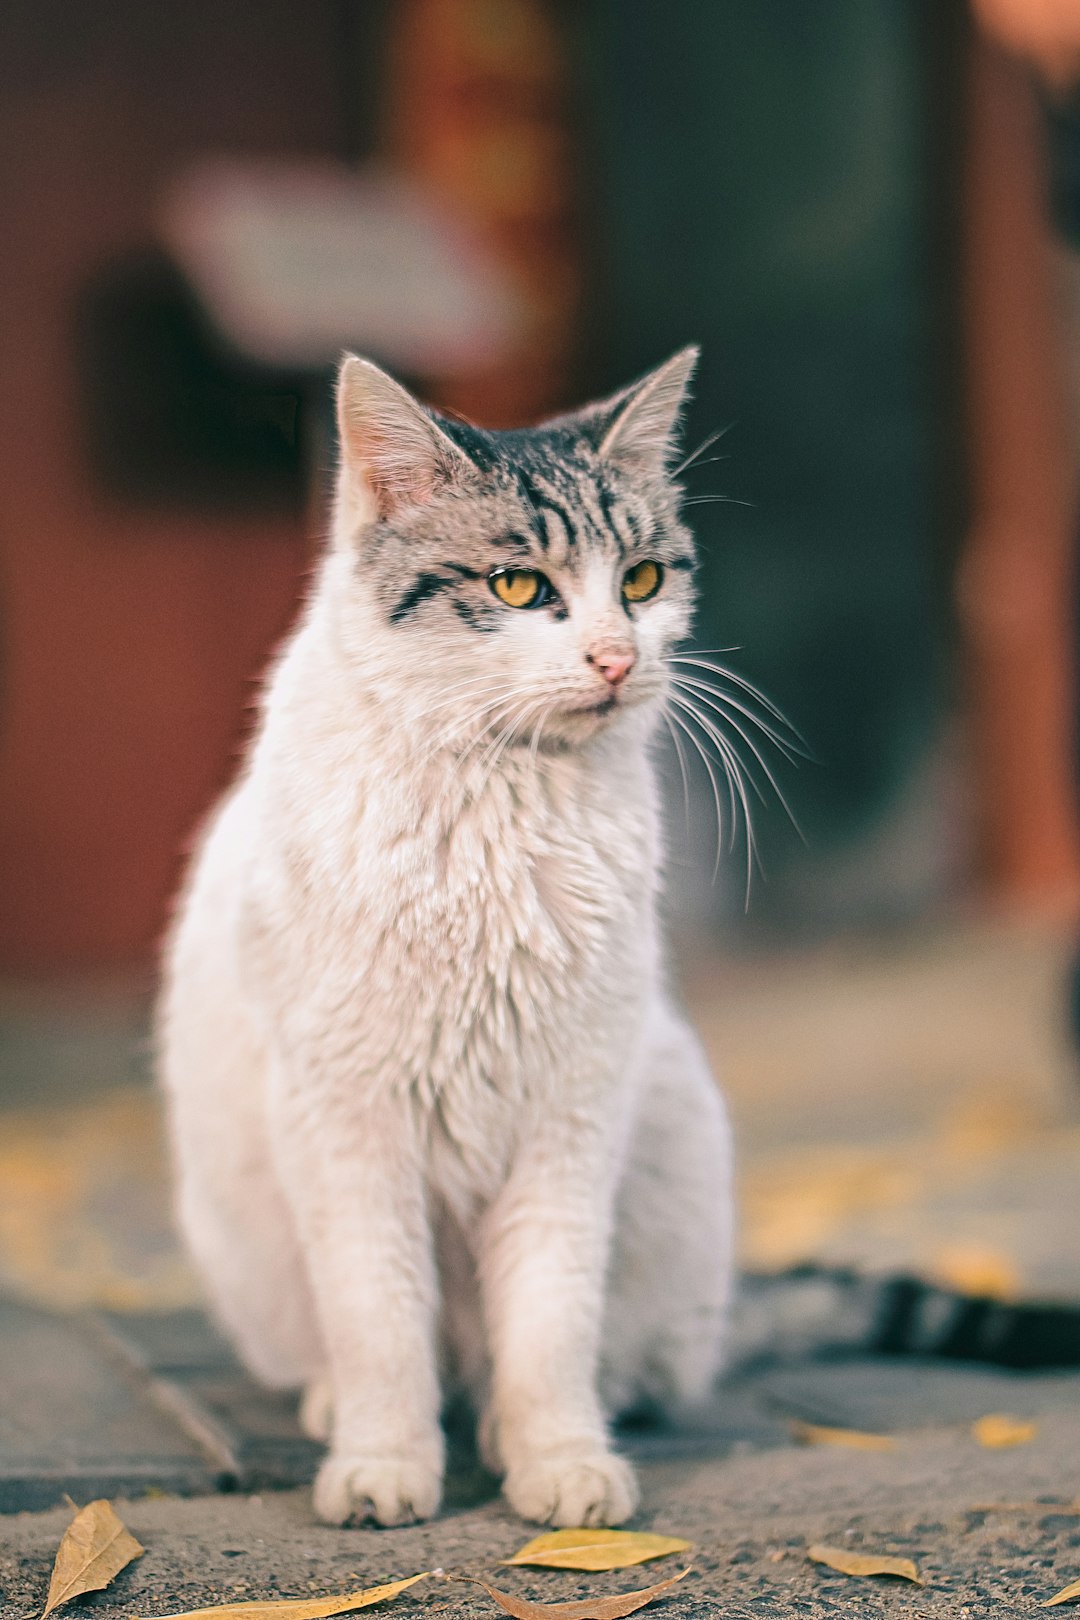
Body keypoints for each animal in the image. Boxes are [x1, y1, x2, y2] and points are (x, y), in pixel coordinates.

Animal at [160, 345, 735, 1529]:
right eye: (520, 587)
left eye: (642, 581)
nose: (617, 658)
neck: (497, 796)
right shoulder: (348, 1124)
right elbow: (379, 1319)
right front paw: (384, 1464)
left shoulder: (570, 1115)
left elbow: (550, 1323)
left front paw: (560, 1461)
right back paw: (346, 1411)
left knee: (600, 1358)